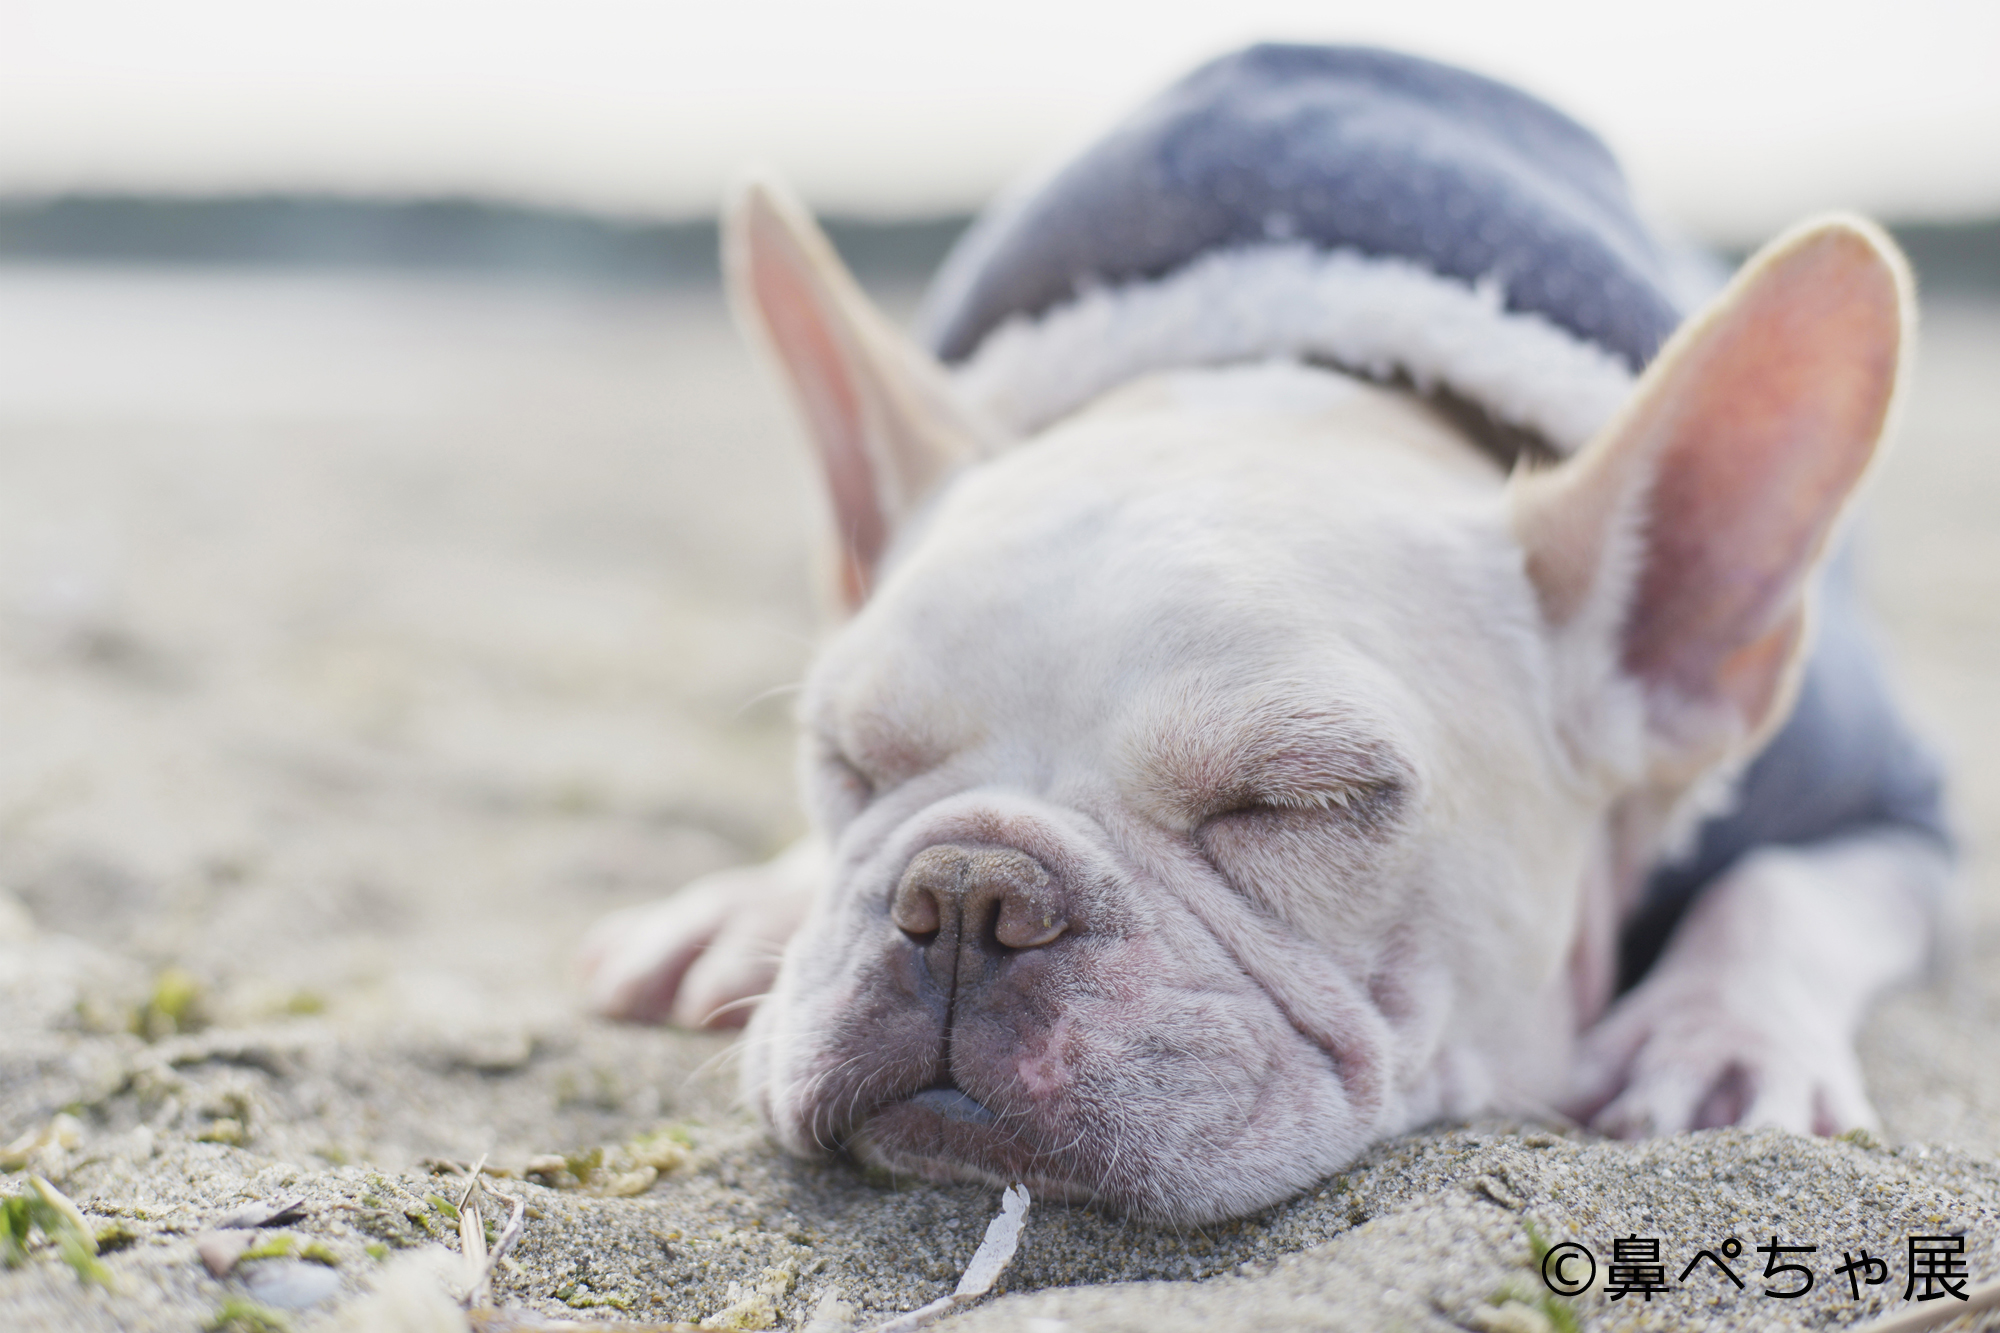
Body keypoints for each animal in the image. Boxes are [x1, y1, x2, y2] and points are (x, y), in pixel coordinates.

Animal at [584, 46, 1952, 1216]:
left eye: (1297, 803)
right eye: (849, 761)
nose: (964, 890)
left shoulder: (1904, 812)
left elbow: (1778, 888)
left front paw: (1716, 1034)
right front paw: (759, 899)